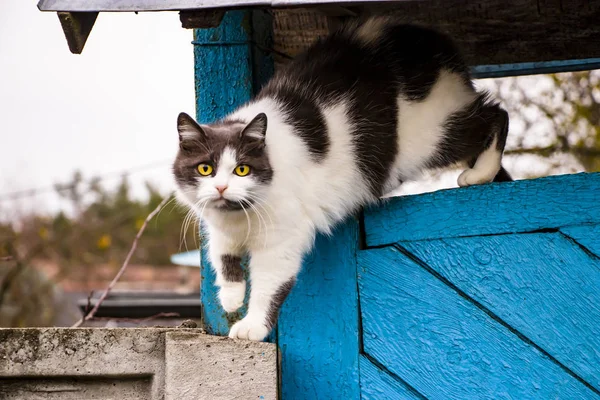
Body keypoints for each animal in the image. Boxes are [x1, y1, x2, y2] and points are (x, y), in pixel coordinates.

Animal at [172, 17, 510, 342]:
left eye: (242, 169)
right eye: (205, 169)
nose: (221, 187)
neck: (239, 218)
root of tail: (435, 39)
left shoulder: (280, 241)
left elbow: (268, 287)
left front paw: (252, 326)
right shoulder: (219, 230)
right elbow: (223, 258)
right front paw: (230, 297)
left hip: (432, 133)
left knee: (496, 114)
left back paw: (480, 173)